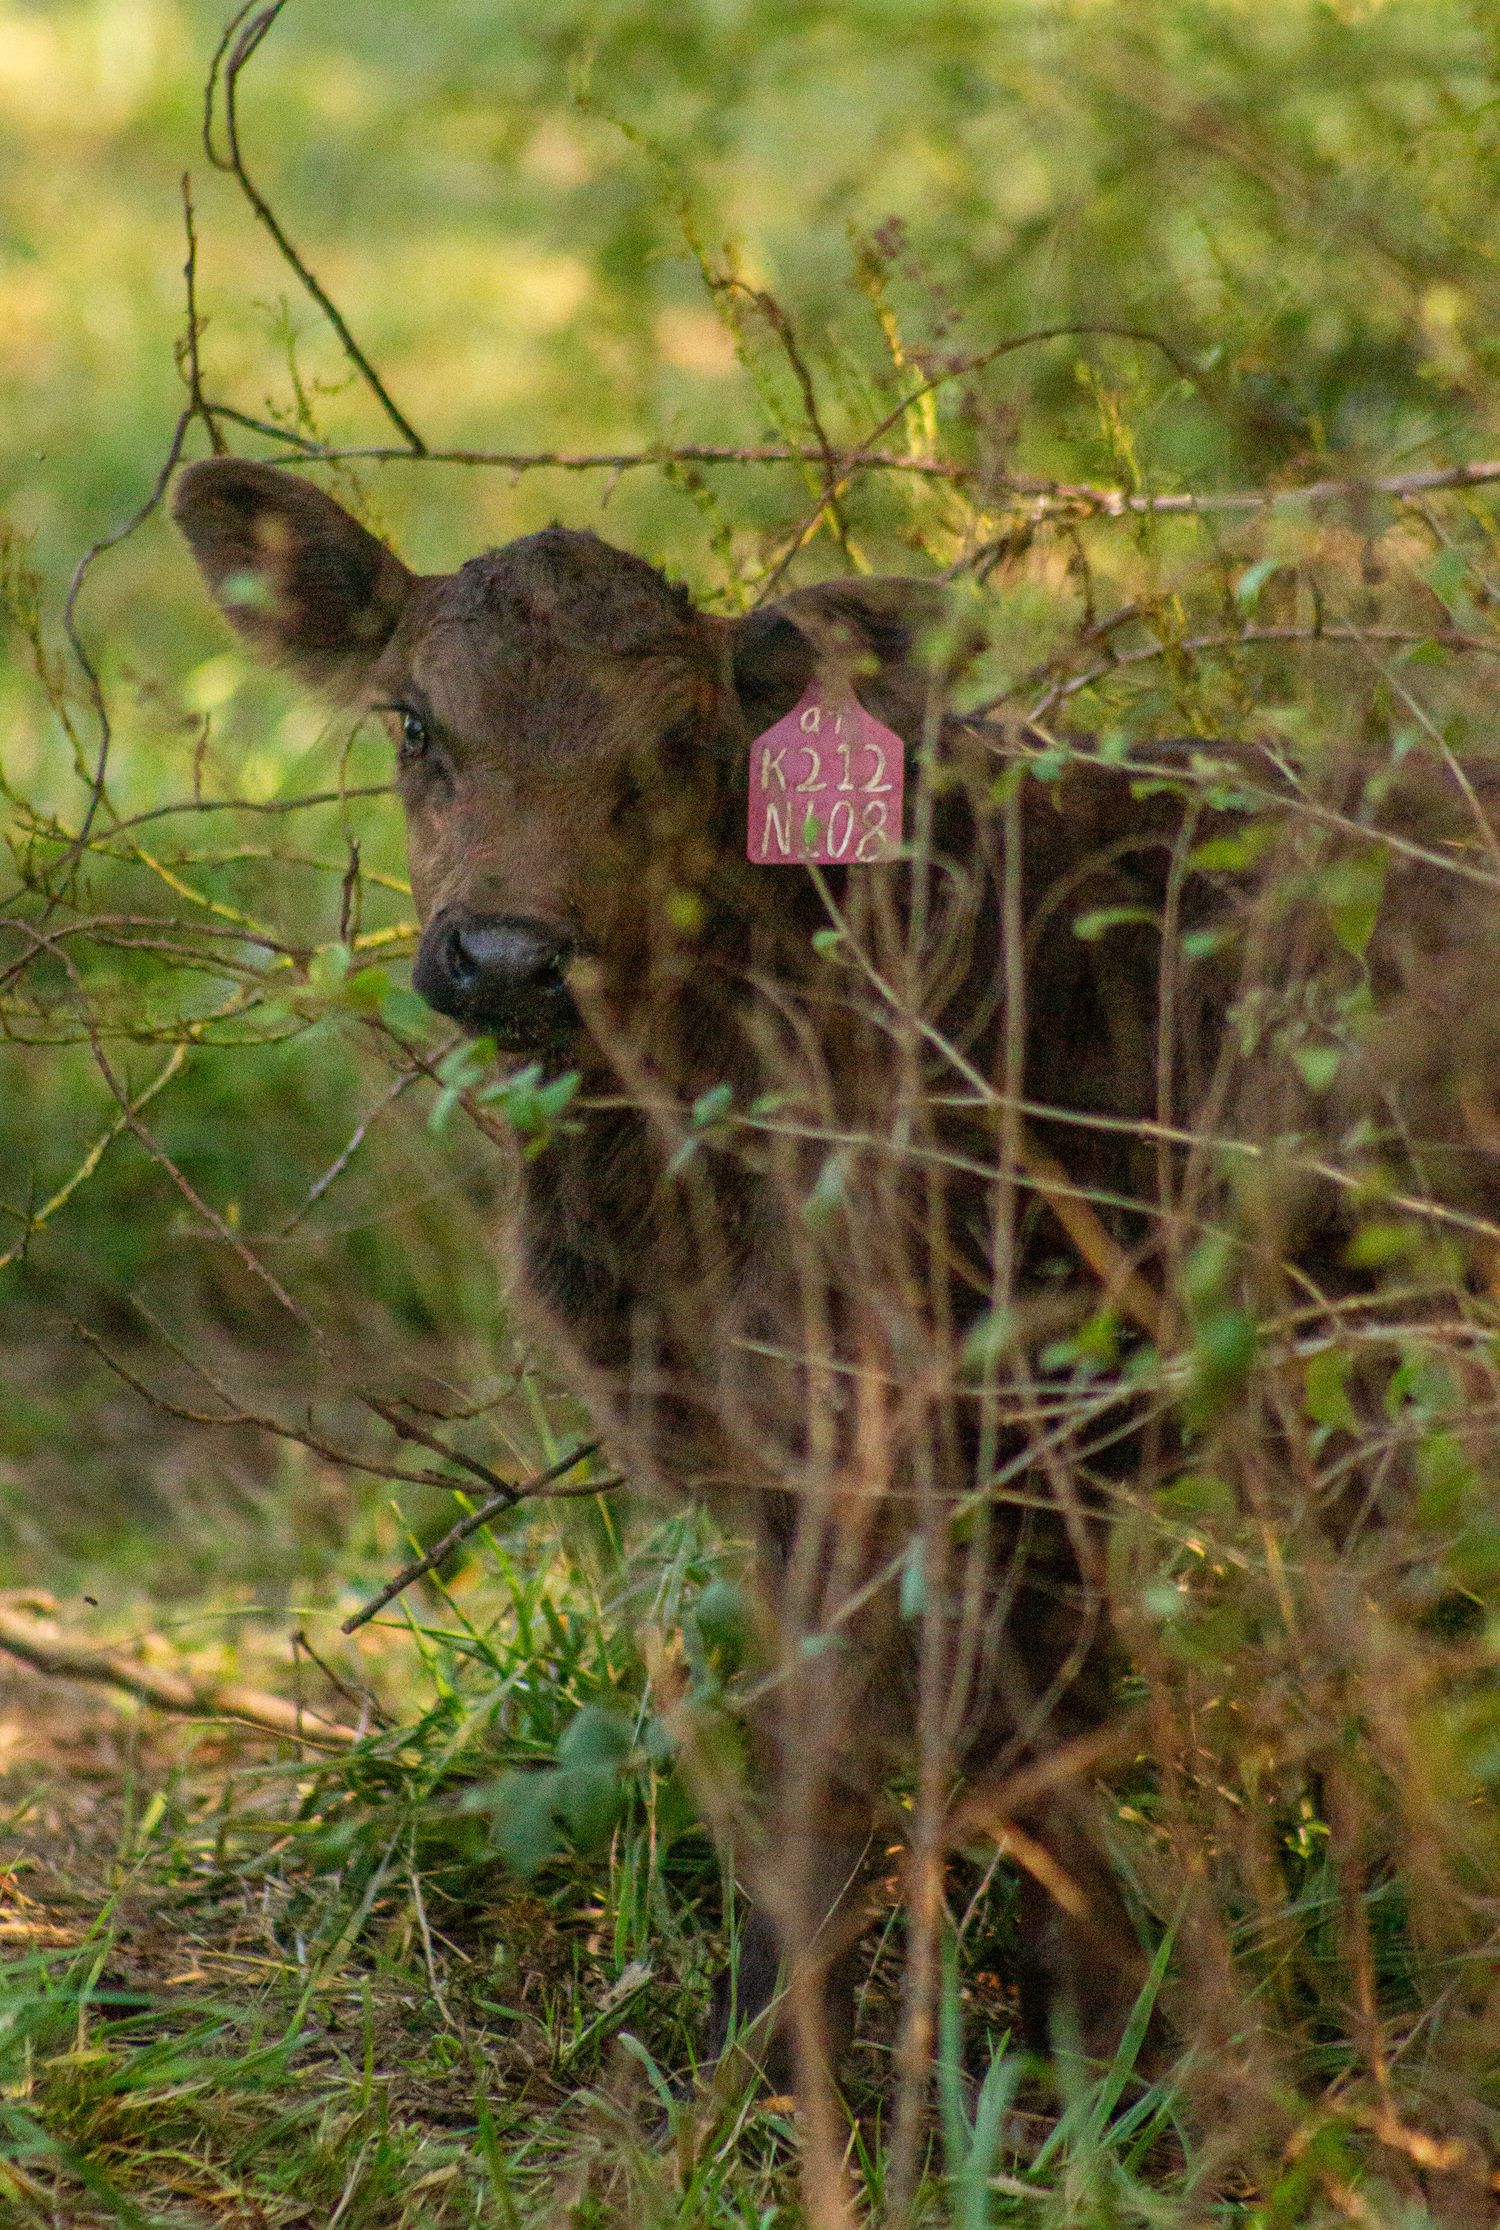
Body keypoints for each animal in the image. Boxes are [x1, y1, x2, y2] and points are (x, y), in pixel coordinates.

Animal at [172, 457, 1500, 2113]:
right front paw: (1074, 2055)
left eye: (682, 740)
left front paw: (798, 2081)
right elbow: (1001, 1740)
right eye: (413, 720)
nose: (508, 955)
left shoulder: (912, 1427)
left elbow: (859, 1761)